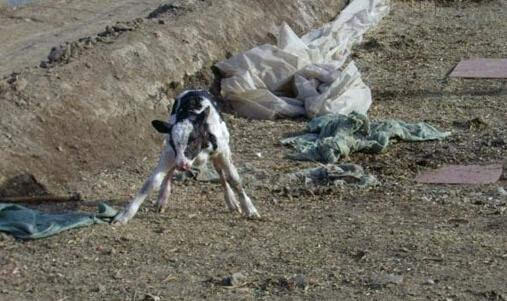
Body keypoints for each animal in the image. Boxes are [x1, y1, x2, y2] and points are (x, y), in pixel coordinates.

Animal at [112, 89, 260, 223]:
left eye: (193, 140)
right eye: (174, 142)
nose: (182, 165)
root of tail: (195, 90)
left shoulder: (223, 152)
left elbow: (234, 179)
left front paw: (250, 209)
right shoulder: (170, 152)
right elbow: (151, 182)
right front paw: (124, 215)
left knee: (221, 173)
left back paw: (231, 201)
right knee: (170, 172)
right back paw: (162, 198)